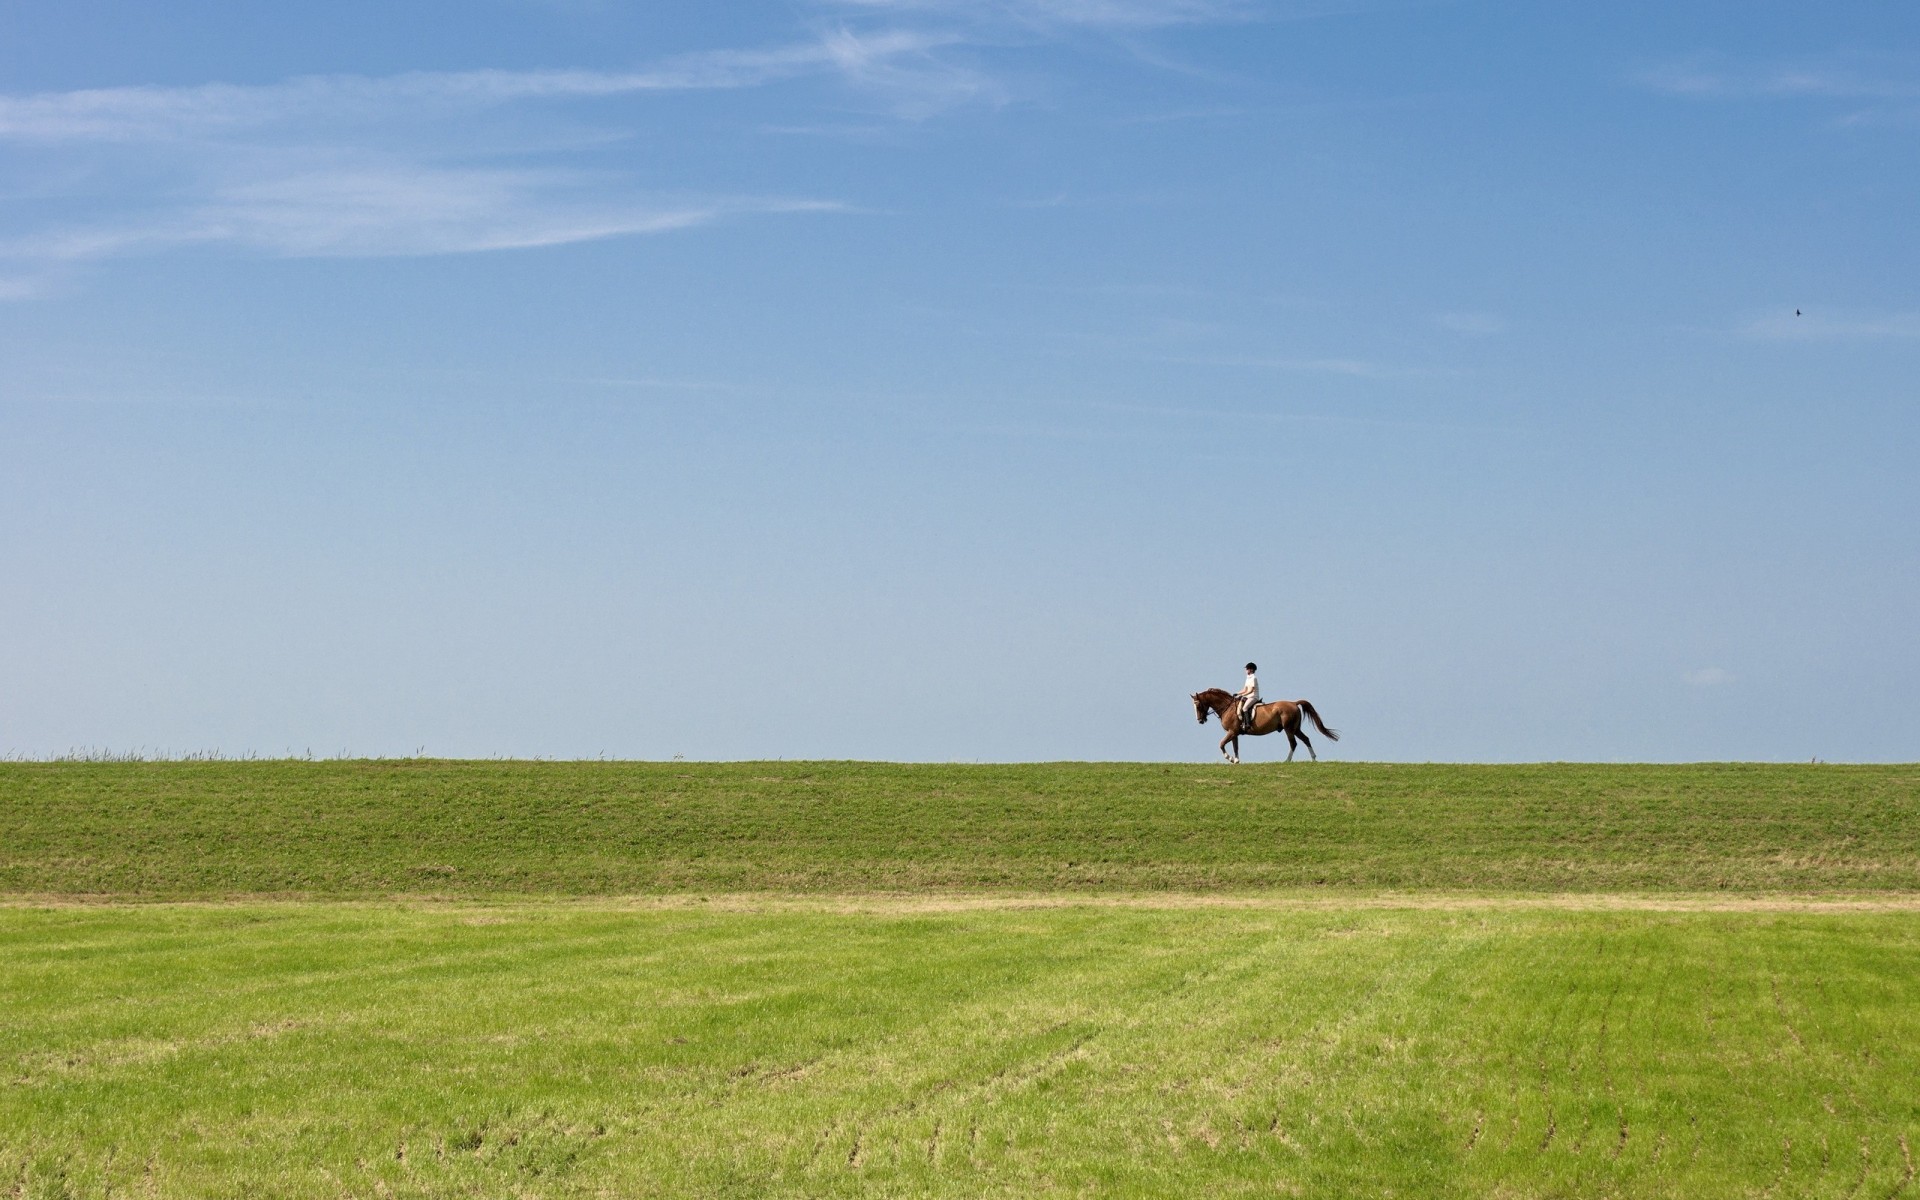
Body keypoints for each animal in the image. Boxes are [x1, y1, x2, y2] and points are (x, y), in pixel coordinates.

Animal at [1190, 687, 1344, 764]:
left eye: (1198, 705)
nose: (1200, 720)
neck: (1227, 707)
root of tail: (1294, 703)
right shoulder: (1234, 733)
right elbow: (1235, 747)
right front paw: (1236, 760)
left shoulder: (1232, 731)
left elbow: (1221, 744)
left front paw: (1230, 759)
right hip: (1295, 728)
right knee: (1306, 739)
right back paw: (1313, 759)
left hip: (1289, 729)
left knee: (1293, 743)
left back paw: (1287, 761)